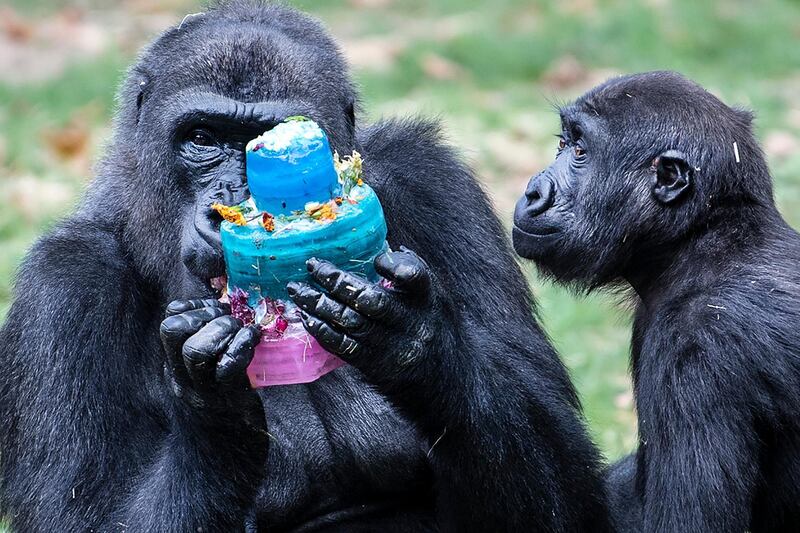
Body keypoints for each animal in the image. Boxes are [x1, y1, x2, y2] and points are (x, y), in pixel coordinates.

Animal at [0, 2, 608, 528]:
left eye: (265, 138)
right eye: (201, 138)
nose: (232, 197)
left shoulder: (430, 180)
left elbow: (565, 489)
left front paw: (417, 345)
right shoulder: (65, 285)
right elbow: (89, 517)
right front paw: (212, 412)